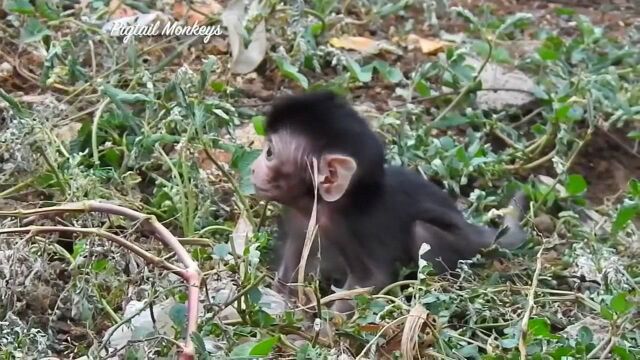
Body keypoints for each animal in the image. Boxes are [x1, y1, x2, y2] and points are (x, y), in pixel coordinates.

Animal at [250, 92, 524, 312]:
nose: (253, 168)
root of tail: (471, 229)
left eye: (270, 153)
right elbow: (292, 260)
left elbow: (372, 278)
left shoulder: (347, 227)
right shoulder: (300, 217)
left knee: (421, 230)